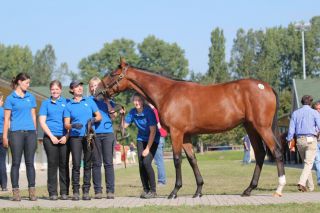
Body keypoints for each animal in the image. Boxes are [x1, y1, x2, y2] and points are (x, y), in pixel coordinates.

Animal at [96, 58, 286, 198]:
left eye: (112, 74)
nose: (97, 91)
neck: (167, 93)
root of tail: (266, 86)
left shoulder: (176, 132)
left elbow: (177, 159)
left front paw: (174, 191)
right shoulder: (186, 135)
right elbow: (192, 160)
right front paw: (198, 191)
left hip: (262, 127)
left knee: (276, 151)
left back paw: (279, 188)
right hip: (251, 127)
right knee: (260, 154)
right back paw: (248, 189)